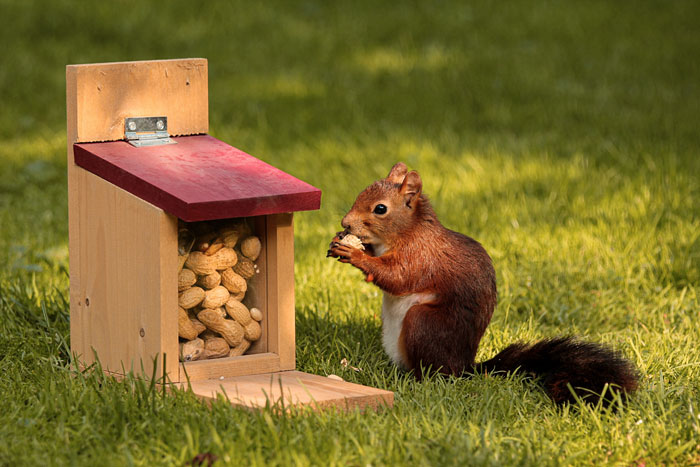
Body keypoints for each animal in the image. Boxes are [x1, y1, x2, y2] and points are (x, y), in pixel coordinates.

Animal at [328, 162, 638, 405]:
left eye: (380, 209)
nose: (345, 222)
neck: (407, 231)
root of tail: (465, 367)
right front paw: (343, 243)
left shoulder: (421, 256)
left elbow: (397, 277)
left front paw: (355, 254)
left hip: (423, 323)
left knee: (434, 373)